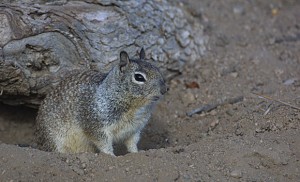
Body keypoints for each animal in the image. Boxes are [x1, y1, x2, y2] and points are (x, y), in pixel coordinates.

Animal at [35, 48, 168, 155]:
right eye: (139, 77)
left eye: (157, 69)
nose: (164, 89)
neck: (135, 107)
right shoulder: (96, 125)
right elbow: (104, 144)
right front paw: (111, 156)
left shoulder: (134, 130)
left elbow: (132, 144)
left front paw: (136, 153)